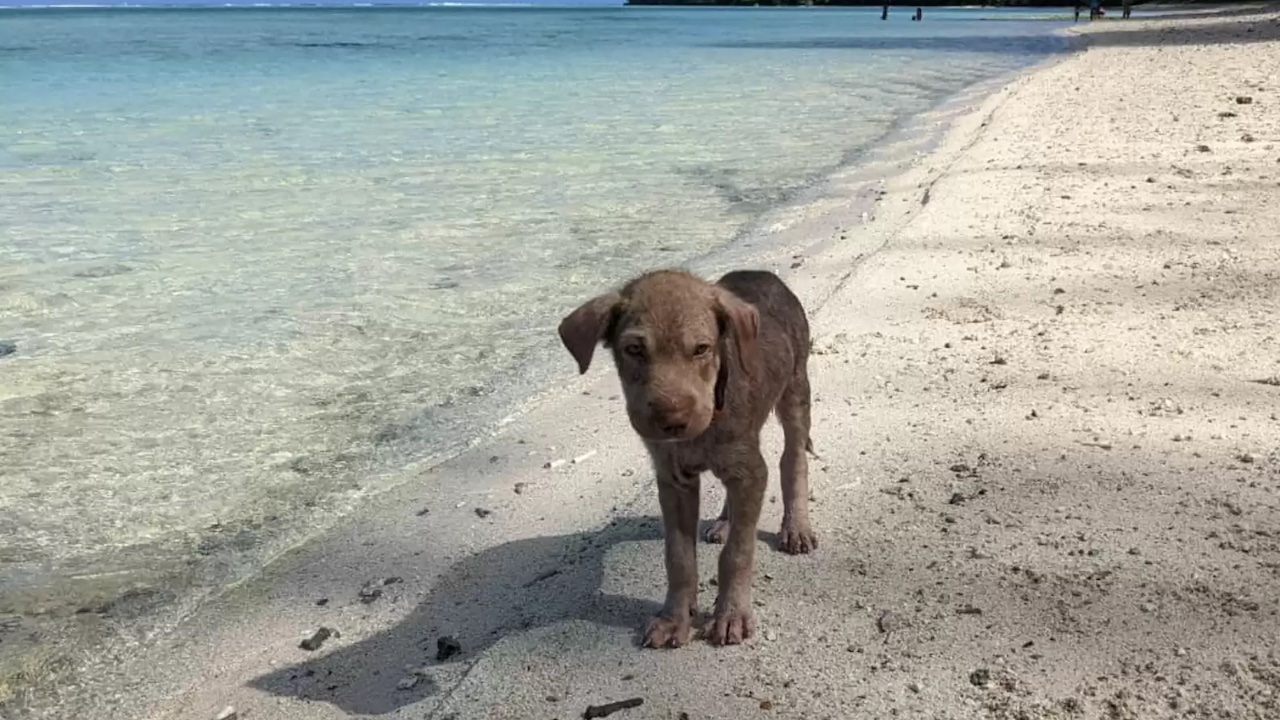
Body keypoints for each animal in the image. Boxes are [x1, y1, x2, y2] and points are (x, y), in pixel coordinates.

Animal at [555, 267, 814, 645]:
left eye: (702, 349)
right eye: (634, 349)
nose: (672, 420)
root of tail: (759, 272)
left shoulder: (750, 471)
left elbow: (737, 552)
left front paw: (730, 614)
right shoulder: (675, 480)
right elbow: (678, 557)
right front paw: (673, 618)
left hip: (796, 390)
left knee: (793, 459)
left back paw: (796, 527)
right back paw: (724, 522)